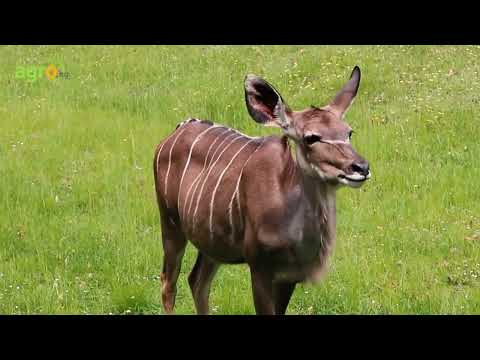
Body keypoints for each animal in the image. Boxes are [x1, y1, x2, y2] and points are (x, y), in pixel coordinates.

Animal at [154, 66, 372, 314]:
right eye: (311, 137)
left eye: (349, 132)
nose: (361, 167)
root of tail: (176, 130)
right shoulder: (259, 266)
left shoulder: (289, 276)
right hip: (170, 222)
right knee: (168, 282)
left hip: (210, 241)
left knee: (197, 280)